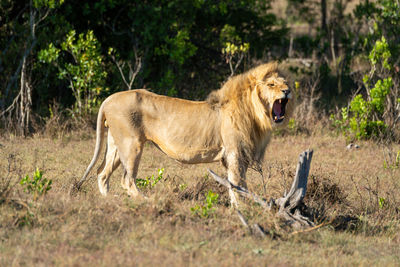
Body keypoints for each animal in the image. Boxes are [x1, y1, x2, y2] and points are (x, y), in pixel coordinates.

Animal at [76, 61, 294, 206]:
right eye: (271, 85)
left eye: (286, 83)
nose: (288, 91)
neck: (257, 113)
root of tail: (109, 98)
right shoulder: (235, 153)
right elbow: (239, 184)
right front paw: (243, 209)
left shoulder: (232, 156)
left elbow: (235, 185)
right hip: (132, 144)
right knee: (127, 180)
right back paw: (147, 201)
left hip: (115, 144)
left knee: (101, 173)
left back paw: (109, 201)